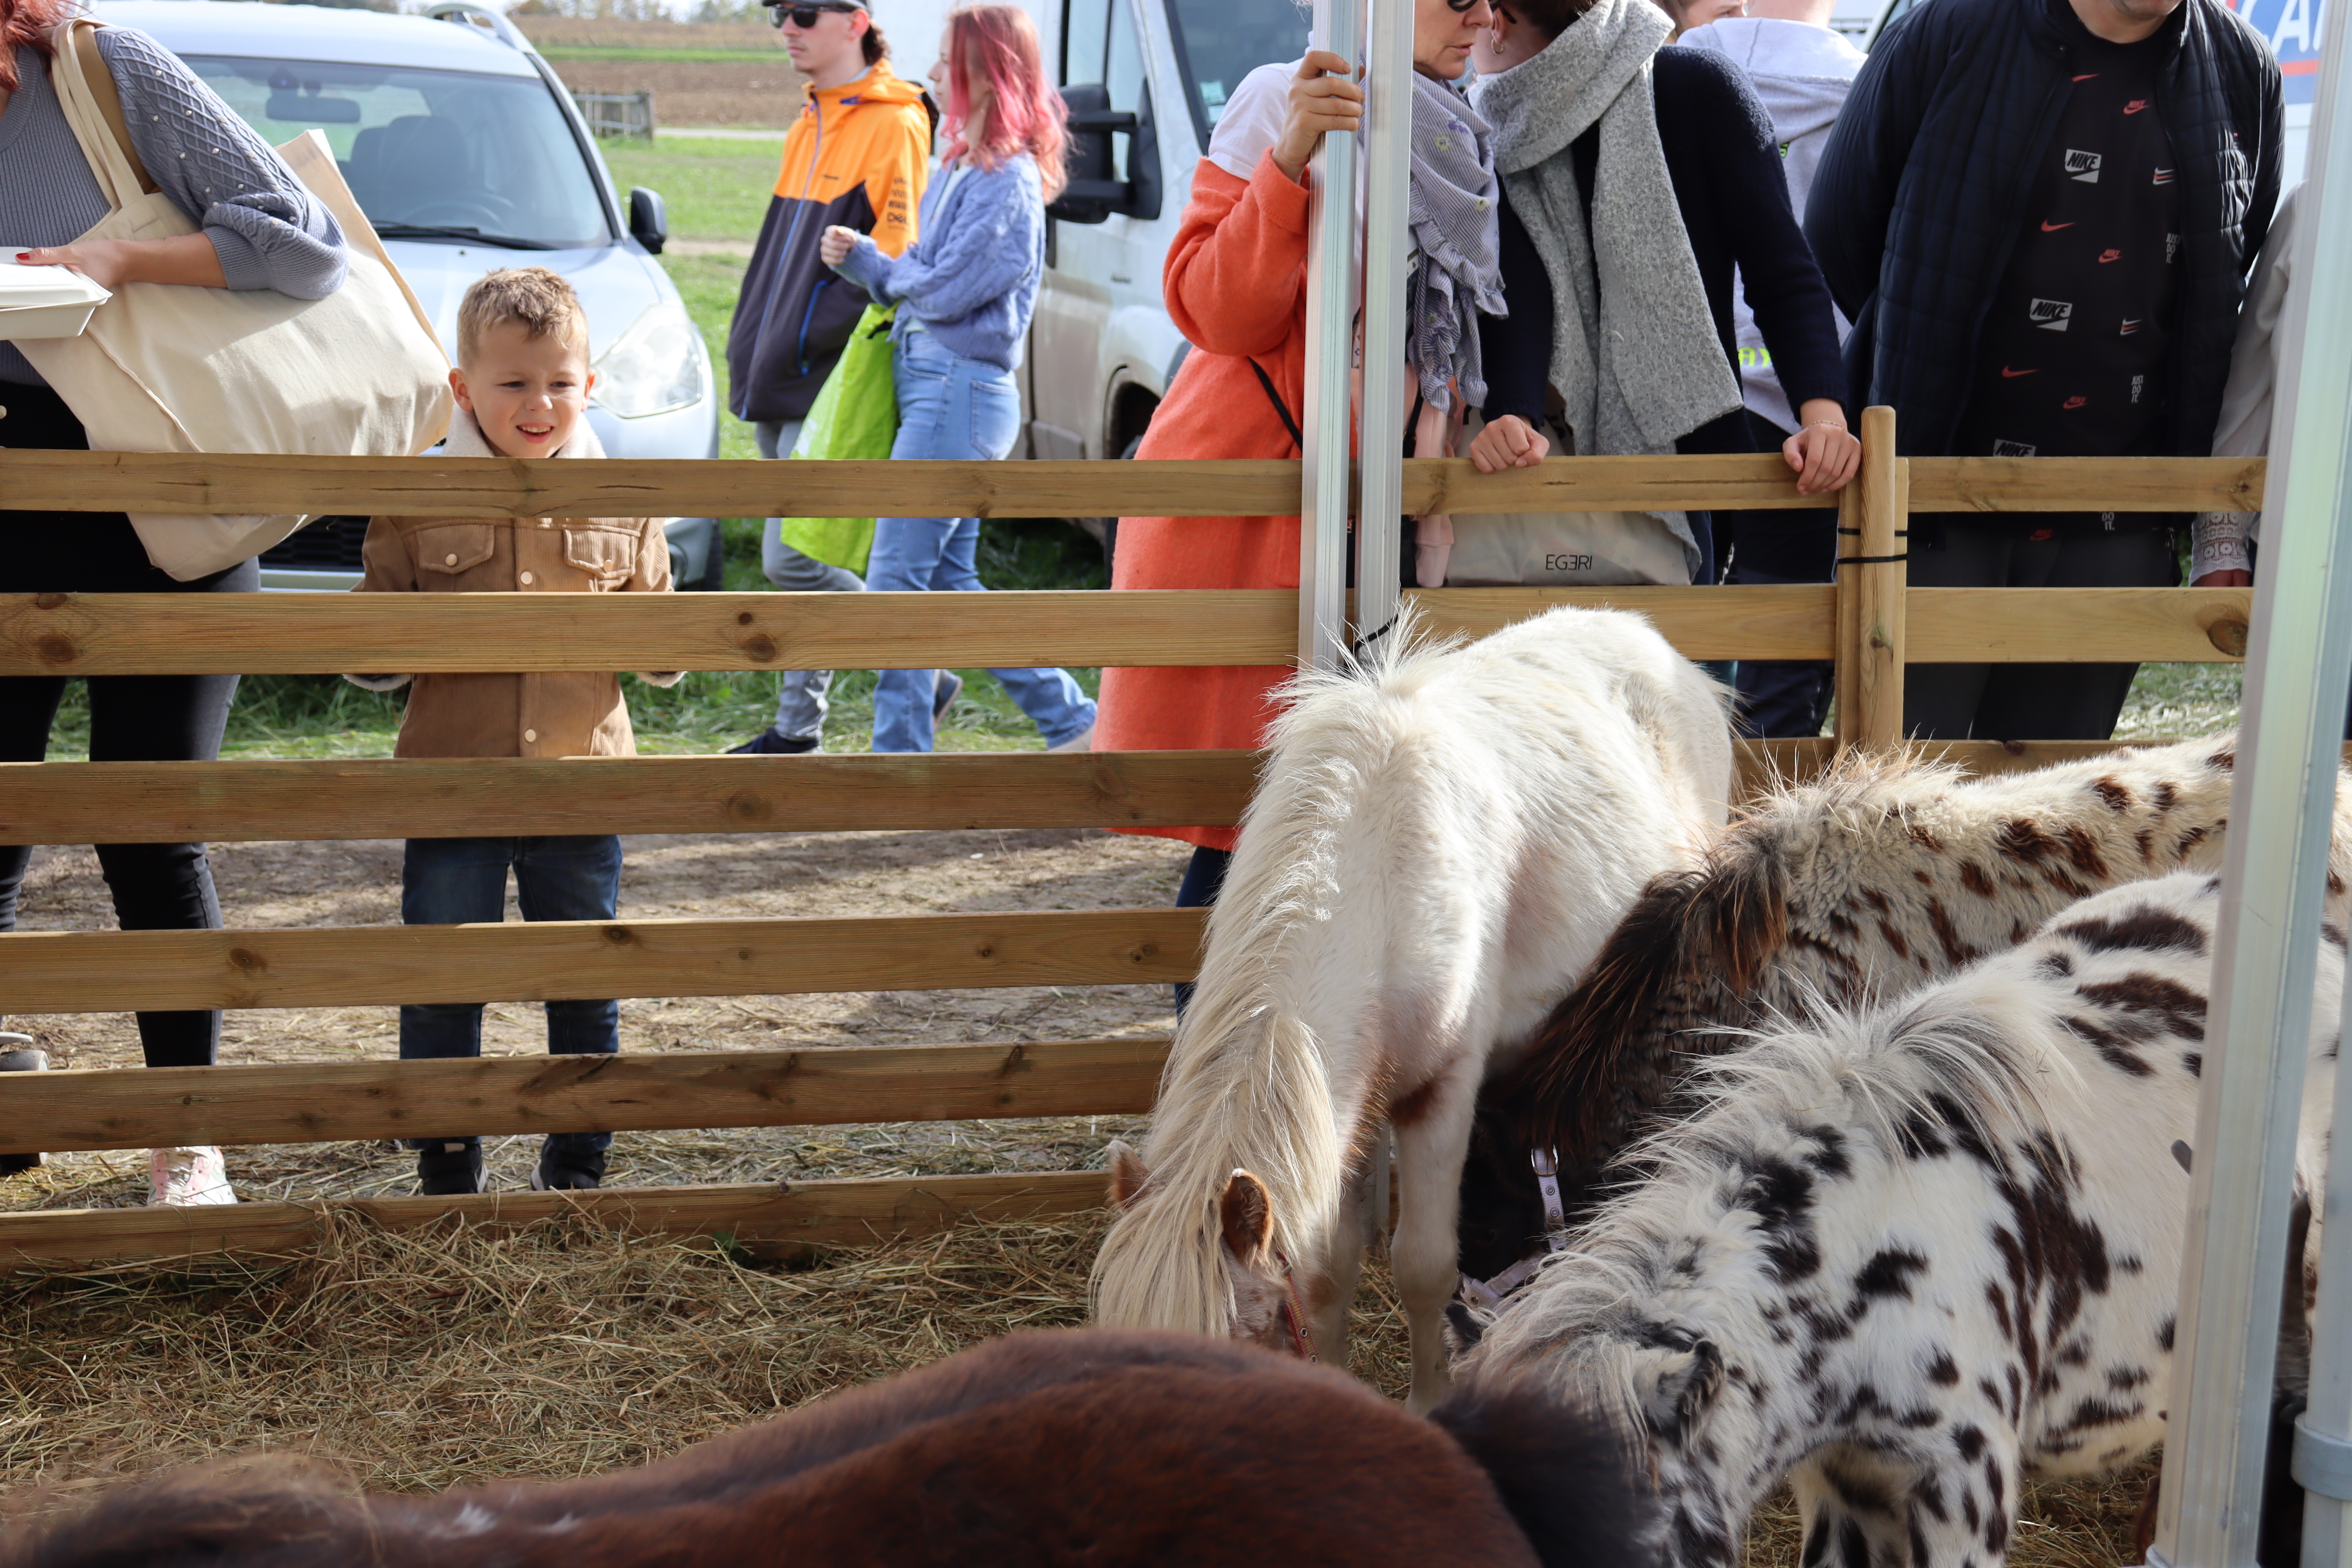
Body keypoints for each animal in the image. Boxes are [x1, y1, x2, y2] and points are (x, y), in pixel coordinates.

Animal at [1091, 606, 1740, 1410]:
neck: (1376, 879)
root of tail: (1648, 638)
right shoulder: (1348, 1105)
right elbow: (1328, 1271)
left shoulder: (1442, 1092)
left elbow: (1426, 1265)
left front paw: (1431, 1398)